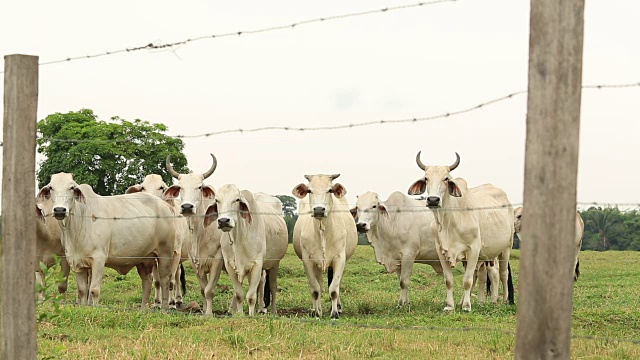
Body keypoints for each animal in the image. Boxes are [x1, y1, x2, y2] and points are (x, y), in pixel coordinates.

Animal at [37, 173, 178, 308]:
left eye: (72, 187)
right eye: (51, 188)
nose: (59, 210)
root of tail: (164, 204)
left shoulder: (99, 259)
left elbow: (93, 290)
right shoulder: (77, 263)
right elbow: (82, 291)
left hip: (165, 253)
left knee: (165, 280)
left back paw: (164, 308)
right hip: (143, 259)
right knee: (147, 282)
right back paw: (143, 308)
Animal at [125, 174, 190, 306]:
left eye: (161, 187)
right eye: (143, 187)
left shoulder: (175, 253)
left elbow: (171, 280)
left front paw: (171, 303)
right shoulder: (154, 256)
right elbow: (157, 281)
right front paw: (158, 302)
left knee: (177, 275)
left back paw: (178, 299)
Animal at [164, 153, 226, 316]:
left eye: (199, 187)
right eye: (180, 187)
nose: (186, 207)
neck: (200, 231)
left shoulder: (217, 259)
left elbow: (210, 290)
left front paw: (209, 314)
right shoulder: (194, 261)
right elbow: (203, 289)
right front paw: (204, 310)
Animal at [204, 186, 286, 316]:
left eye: (237, 199)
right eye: (217, 200)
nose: (223, 221)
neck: (239, 238)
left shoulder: (257, 264)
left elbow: (251, 296)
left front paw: (251, 315)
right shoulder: (230, 265)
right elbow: (239, 294)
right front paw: (240, 314)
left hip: (275, 264)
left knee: (273, 287)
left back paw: (273, 311)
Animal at [292, 174, 358, 318]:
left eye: (330, 190)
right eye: (309, 190)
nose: (318, 209)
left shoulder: (339, 259)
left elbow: (333, 288)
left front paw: (334, 313)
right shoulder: (308, 261)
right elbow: (316, 289)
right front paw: (317, 313)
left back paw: (338, 307)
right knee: (320, 286)